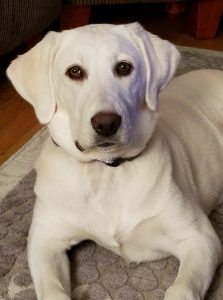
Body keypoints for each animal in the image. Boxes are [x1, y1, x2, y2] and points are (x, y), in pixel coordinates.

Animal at [6, 23, 223, 300]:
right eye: (74, 72)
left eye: (123, 67)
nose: (106, 123)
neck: (106, 170)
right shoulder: (45, 240)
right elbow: (52, 290)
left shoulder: (201, 239)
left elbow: (181, 288)